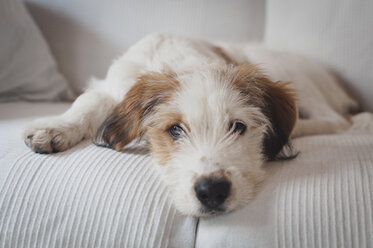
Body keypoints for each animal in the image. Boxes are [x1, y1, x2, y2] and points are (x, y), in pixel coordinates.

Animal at [24, 34, 358, 216]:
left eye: (237, 127)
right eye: (175, 129)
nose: (212, 191)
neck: (175, 61)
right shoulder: (111, 86)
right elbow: (87, 102)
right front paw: (54, 128)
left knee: (335, 120)